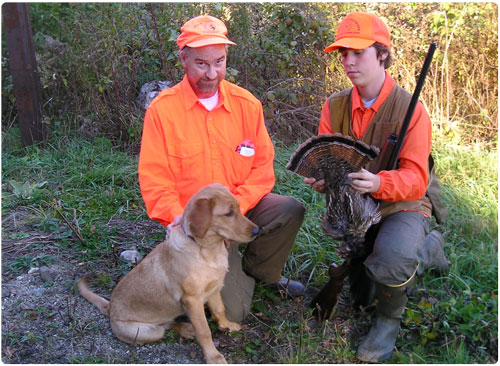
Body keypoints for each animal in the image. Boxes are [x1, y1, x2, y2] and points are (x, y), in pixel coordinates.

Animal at [80, 184, 260, 362]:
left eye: (238, 208)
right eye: (228, 213)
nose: (257, 231)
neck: (207, 250)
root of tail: (110, 308)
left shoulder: (214, 288)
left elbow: (219, 309)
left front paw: (227, 325)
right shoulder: (192, 300)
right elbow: (204, 331)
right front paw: (213, 356)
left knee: (167, 323)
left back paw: (187, 328)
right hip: (145, 332)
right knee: (164, 327)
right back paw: (188, 328)